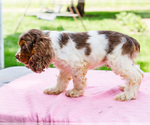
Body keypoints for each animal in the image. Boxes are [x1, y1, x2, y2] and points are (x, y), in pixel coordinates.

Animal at [15, 29, 144, 100]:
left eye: (24, 46)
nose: (16, 56)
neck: (51, 44)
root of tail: (132, 40)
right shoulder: (64, 68)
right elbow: (61, 81)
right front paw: (55, 90)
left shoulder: (78, 66)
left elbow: (77, 81)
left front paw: (76, 92)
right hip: (126, 61)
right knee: (140, 73)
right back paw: (127, 88)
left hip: (118, 61)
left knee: (136, 76)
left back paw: (127, 95)